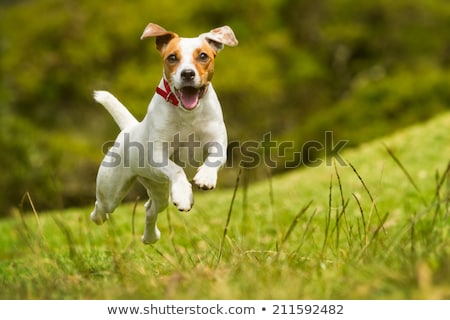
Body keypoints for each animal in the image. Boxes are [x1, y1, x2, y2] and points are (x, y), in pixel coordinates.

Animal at [92, 22, 239, 244]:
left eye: (203, 56)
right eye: (172, 57)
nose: (187, 74)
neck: (188, 114)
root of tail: (129, 128)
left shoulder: (217, 143)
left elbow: (213, 159)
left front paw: (205, 178)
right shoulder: (158, 155)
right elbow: (176, 169)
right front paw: (183, 194)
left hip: (157, 188)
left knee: (150, 209)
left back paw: (150, 237)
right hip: (111, 190)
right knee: (101, 207)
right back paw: (99, 217)